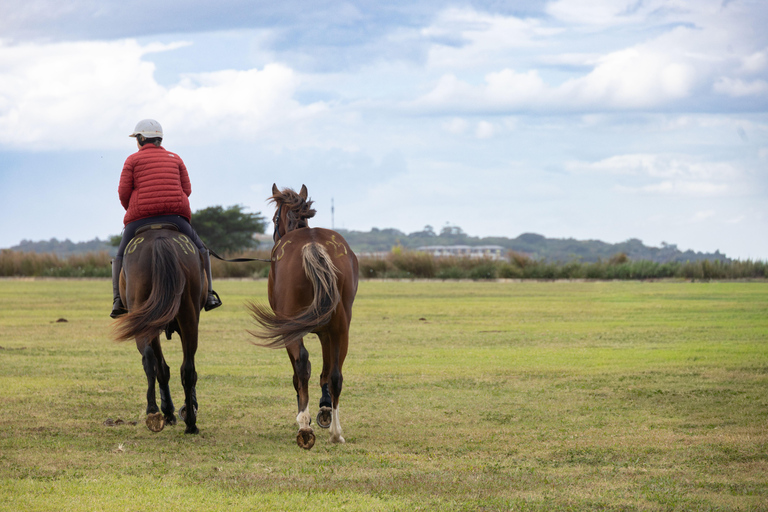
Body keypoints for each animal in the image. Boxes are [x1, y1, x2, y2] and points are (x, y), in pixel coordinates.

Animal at [112, 224, 206, 434]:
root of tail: (159, 239)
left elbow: (162, 368)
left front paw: (169, 412)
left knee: (151, 360)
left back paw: (155, 411)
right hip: (188, 317)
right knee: (187, 369)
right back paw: (189, 422)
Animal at [248, 184, 359, 449]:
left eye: (274, 218)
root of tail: (313, 246)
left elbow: (299, 371)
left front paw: (305, 414)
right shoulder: (327, 332)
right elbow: (326, 372)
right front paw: (325, 409)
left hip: (294, 328)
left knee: (302, 365)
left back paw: (305, 426)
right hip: (341, 327)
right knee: (336, 375)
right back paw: (336, 432)